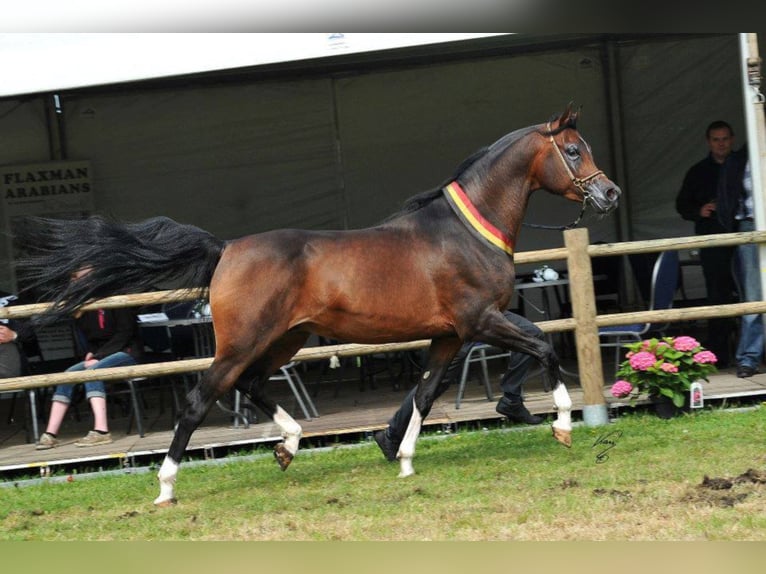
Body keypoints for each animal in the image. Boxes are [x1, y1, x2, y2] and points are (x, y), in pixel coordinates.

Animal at [18, 104, 624, 508]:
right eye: (574, 150)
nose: (609, 193)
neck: (464, 232)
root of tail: (226, 249)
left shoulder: (450, 335)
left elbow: (426, 394)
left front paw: (403, 458)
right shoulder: (481, 321)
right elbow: (543, 345)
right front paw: (563, 423)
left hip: (285, 339)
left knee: (251, 385)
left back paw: (288, 445)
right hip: (243, 341)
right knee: (199, 399)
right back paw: (166, 487)